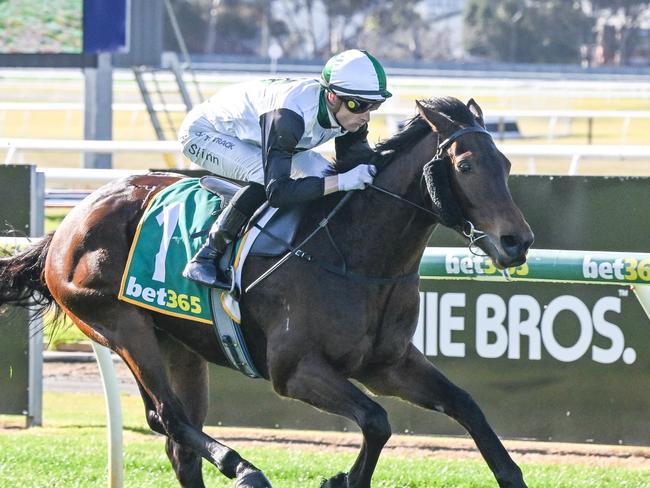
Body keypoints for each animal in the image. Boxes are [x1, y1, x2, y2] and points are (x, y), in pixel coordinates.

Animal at [1, 97, 532, 486]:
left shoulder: (388, 364)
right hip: (120, 326)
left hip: (178, 343)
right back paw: (245, 470)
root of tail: (67, 224)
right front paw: (340, 479)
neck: (355, 255)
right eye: (466, 166)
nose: (517, 241)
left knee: (178, 440)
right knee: (168, 417)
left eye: (506, 162)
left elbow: (465, 405)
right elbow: (376, 419)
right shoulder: (295, 371)